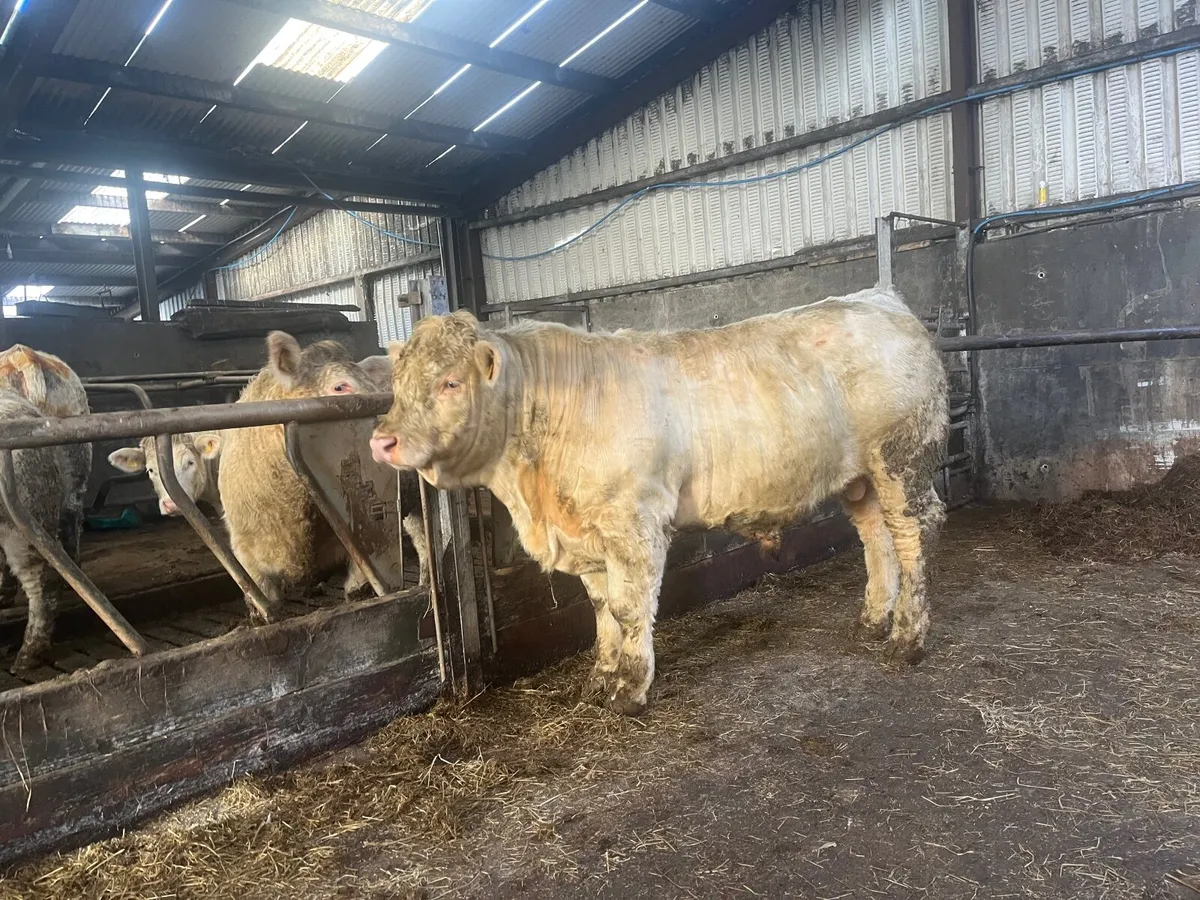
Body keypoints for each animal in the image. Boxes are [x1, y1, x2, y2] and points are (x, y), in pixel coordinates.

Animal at [369, 287, 949, 716]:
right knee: (875, 536)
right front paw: (600, 678)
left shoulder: (633, 522)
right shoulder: (586, 532)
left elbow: (630, 607)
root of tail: (883, 299)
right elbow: (601, 606)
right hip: (860, 477)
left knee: (913, 534)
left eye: (450, 383)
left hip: (901, 458)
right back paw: (873, 619)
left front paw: (630, 689)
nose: (382, 441)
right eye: (397, 383)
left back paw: (908, 638)